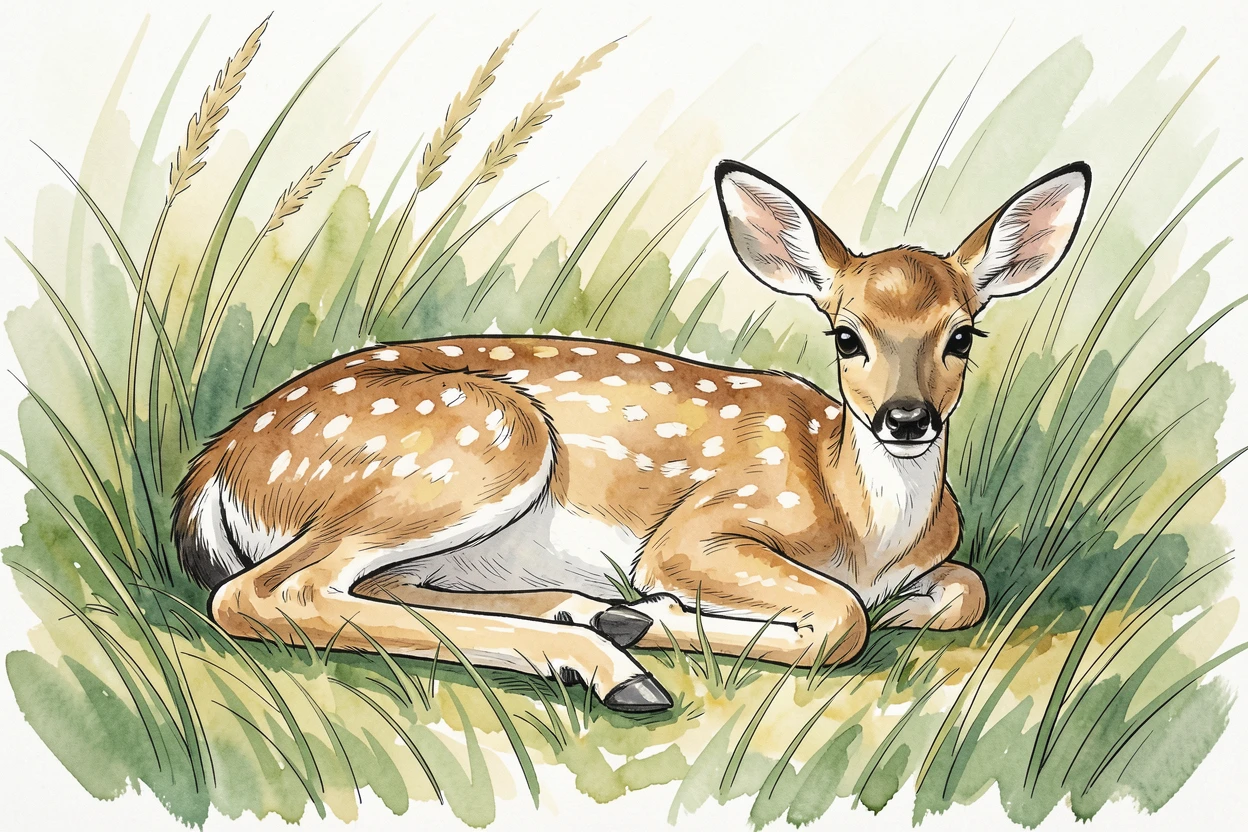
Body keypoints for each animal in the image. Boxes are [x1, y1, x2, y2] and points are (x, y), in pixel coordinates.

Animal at [174, 159, 1090, 713]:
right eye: (846, 335)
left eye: (962, 335)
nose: (906, 418)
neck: (864, 528)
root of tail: (216, 465)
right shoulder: (695, 532)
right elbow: (839, 619)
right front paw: (669, 615)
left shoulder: (932, 566)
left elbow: (965, 593)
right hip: (482, 439)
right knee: (268, 593)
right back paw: (618, 663)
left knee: (369, 588)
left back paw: (598, 619)